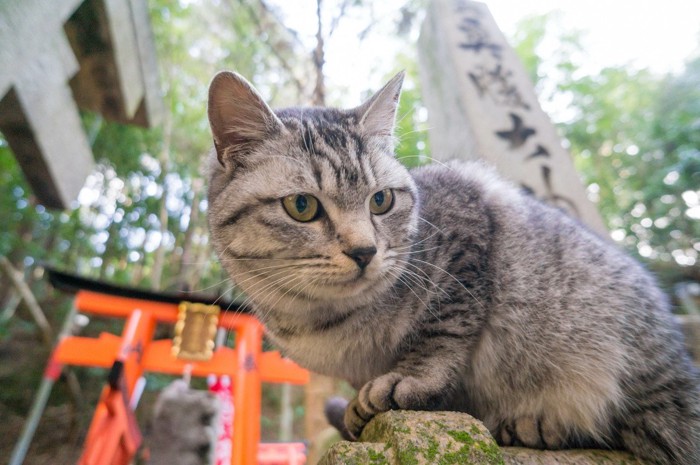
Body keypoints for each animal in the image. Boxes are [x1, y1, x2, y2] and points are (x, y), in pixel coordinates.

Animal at [205, 70, 696, 464]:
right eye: (302, 206)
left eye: (381, 200)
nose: (365, 251)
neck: (323, 321)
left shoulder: (468, 230)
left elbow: (444, 326)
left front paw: (410, 378)